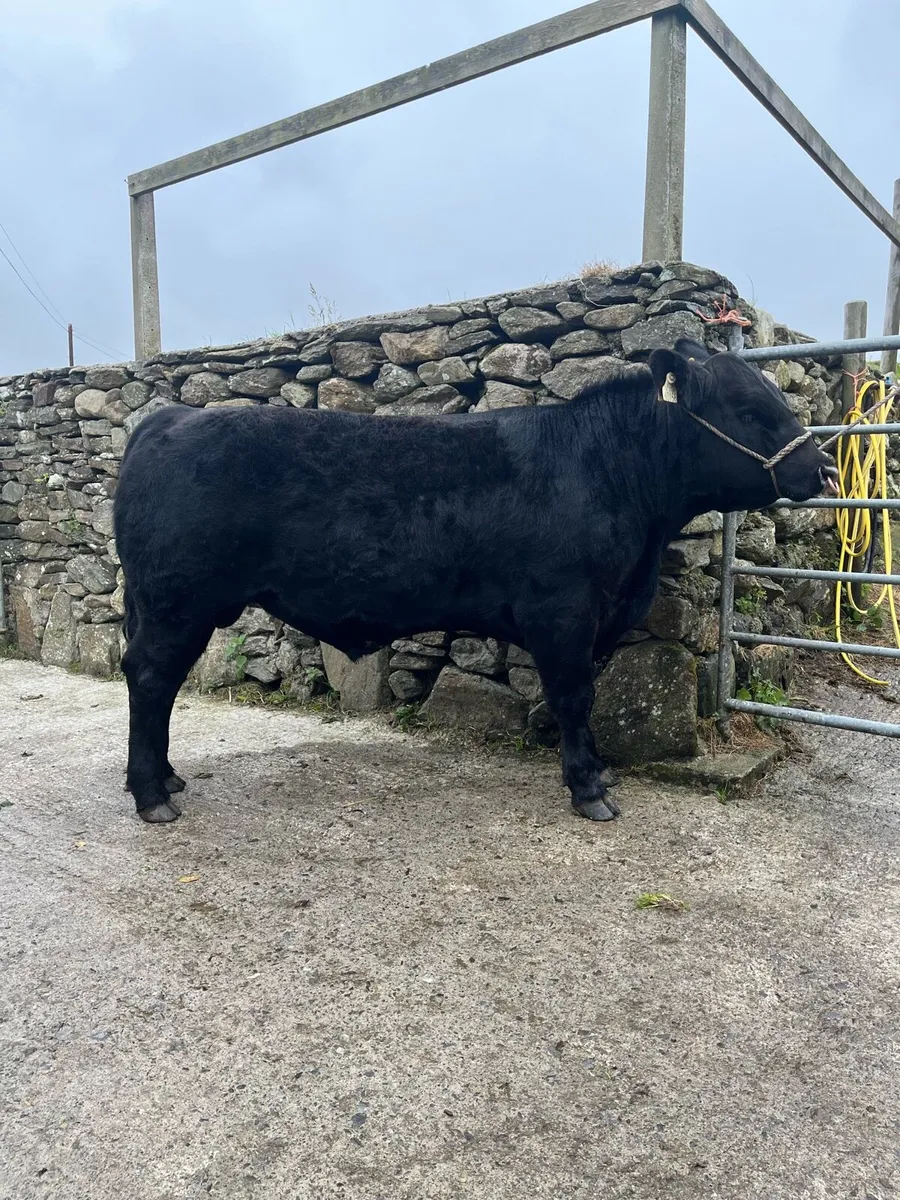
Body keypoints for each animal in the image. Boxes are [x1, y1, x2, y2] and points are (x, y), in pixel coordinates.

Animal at [114, 338, 837, 825]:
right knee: (150, 679)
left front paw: (596, 774)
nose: (823, 470)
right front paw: (590, 789)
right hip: (178, 602)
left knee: (157, 684)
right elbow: (575, 697)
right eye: (749, 408)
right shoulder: (564, 612)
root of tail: (169, 417)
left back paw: (168, 781)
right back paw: (152, 795)